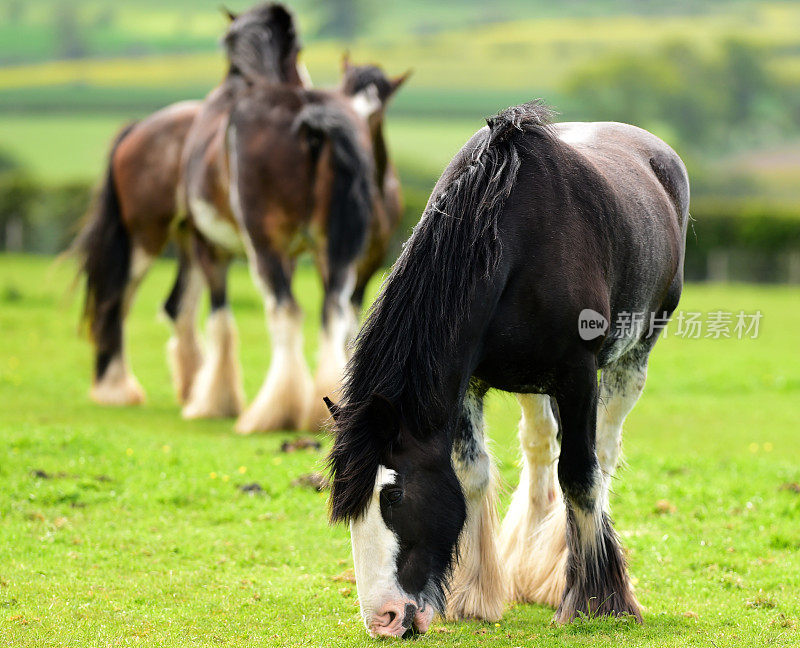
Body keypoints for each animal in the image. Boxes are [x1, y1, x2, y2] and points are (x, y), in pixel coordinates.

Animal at [73, 3, 308, 404]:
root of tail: (137, 128)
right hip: (145, 239)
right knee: (117, 302)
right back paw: (118, 387)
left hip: (186, 240)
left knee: (176, 306)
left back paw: (190, 388)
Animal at [324, 102, 688, 636]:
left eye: (393, 496)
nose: (383, 618)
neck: (510, 239)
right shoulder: (467, 384)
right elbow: (471, 473)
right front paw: (474, 596)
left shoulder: (578, 376)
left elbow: (580, 475)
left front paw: (595, 601)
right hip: (532, 383)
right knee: (540, 448)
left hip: (632, 357)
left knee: (601, 452)